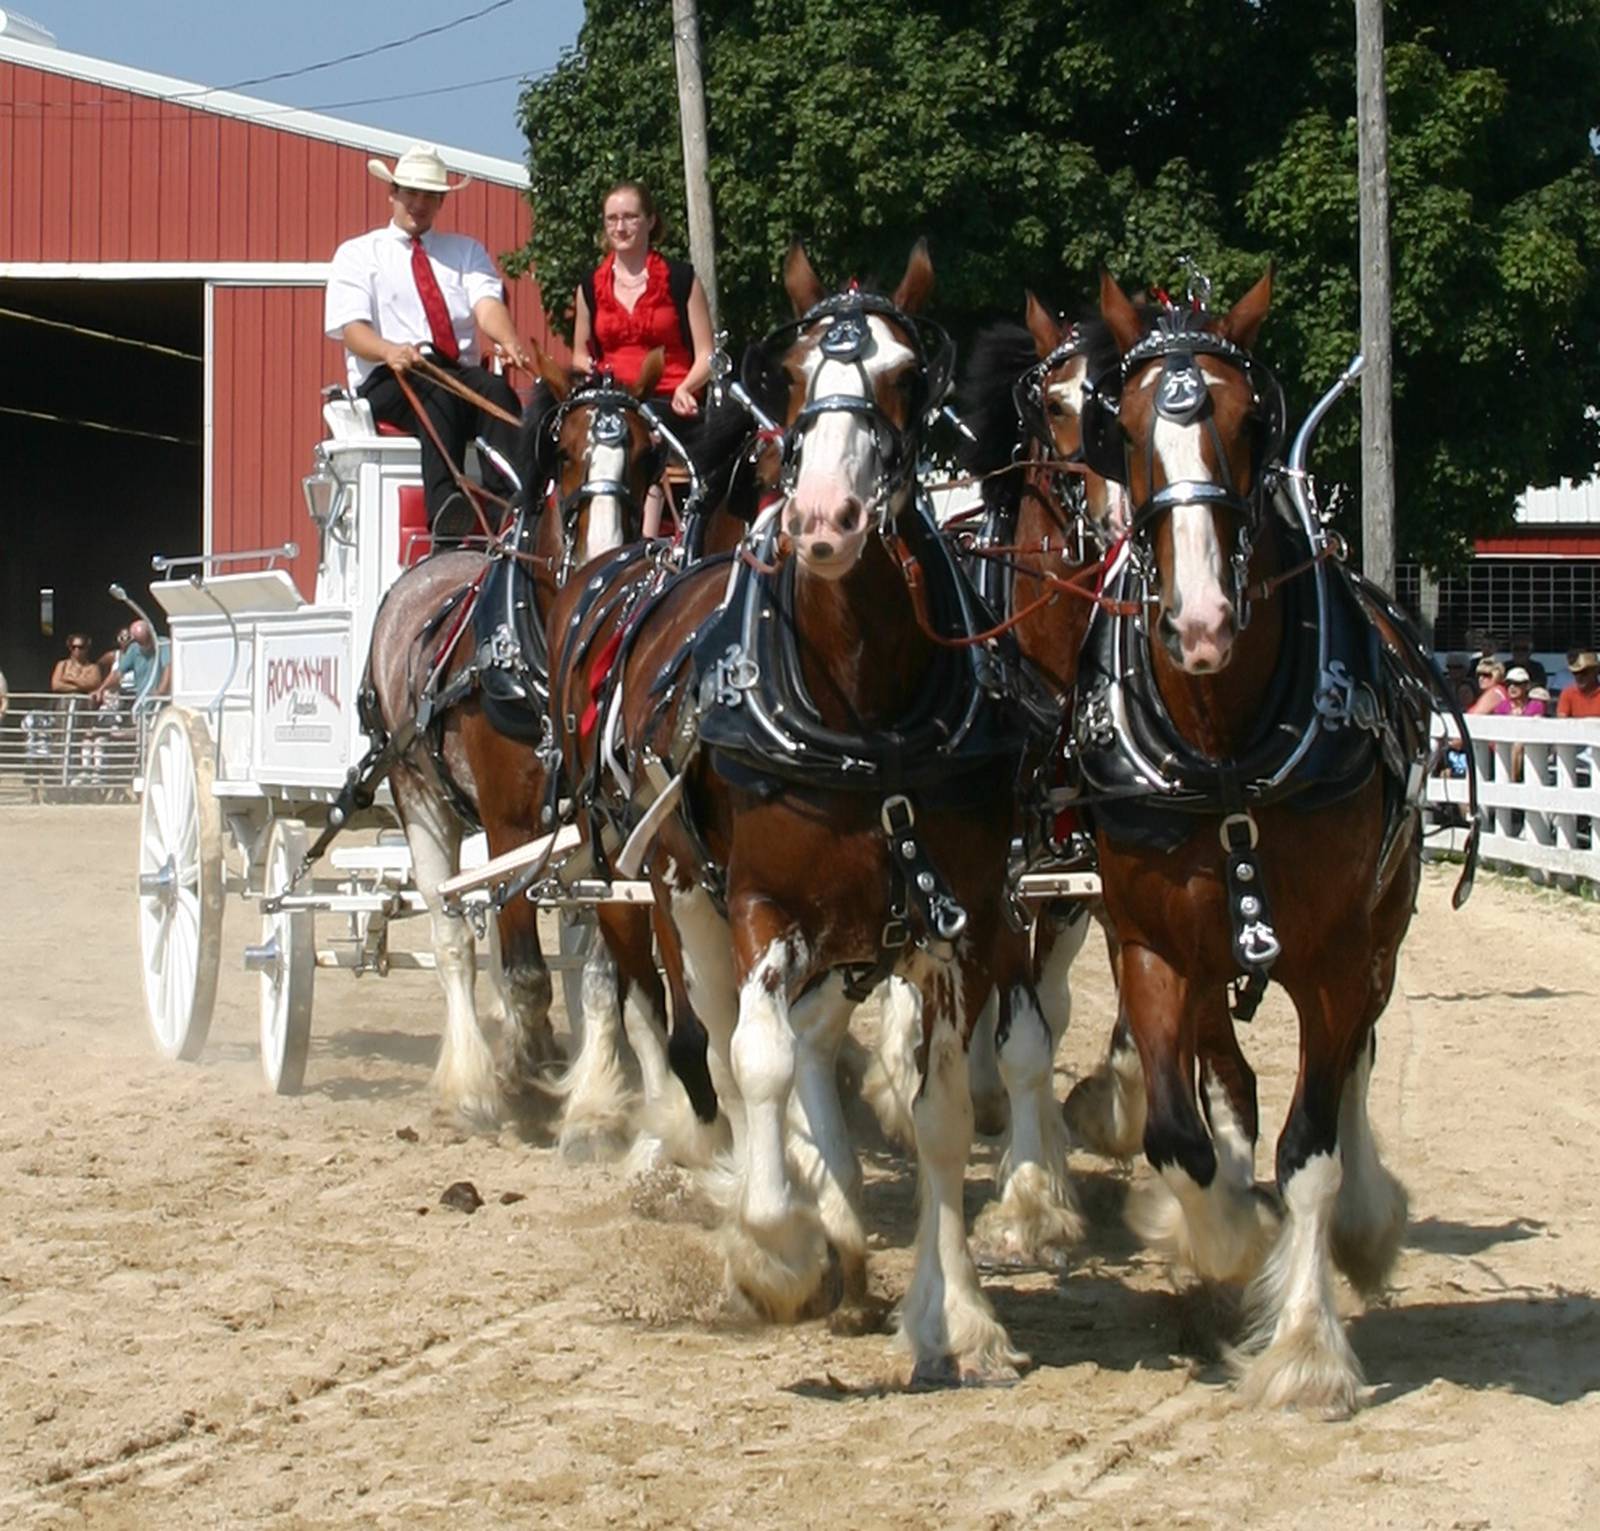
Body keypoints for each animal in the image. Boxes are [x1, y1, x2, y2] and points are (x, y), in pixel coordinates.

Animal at [364, 355, 668, 1126]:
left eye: (650, 457)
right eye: (562, 453)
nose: (606, 561)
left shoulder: (601, 828)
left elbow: (601, 970)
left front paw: (592, 1093)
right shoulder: (508, 820)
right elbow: (526, 971)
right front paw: (527, 1063)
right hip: (420, 798)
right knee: (451, 935)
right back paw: (472, 1079)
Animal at [550, 244, 1062, 1382]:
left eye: (906, 376)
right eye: (789, 378)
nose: (825, 520)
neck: (862, 706)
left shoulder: (955, 917)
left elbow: (938, 1111)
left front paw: (957, 1313)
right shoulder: (760, 907)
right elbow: (758, 1060)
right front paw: (777, 1249)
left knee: (817, 1042)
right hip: (679, 895)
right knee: (721, 1044)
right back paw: (788, 1209)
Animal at [1075, 271, 1427, 1407]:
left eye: (1246, 419)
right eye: (1123, 426)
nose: (1199, 622)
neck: (1225, 744)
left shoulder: (1334, 956)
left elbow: (1311, 1146)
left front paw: (1307, 1348)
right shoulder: (1146, 944)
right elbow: (1175, 1135)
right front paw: (1222, 1242)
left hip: (1380, 935)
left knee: (1352, 1066)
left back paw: (1364, 1224)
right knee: (1219, 1071)